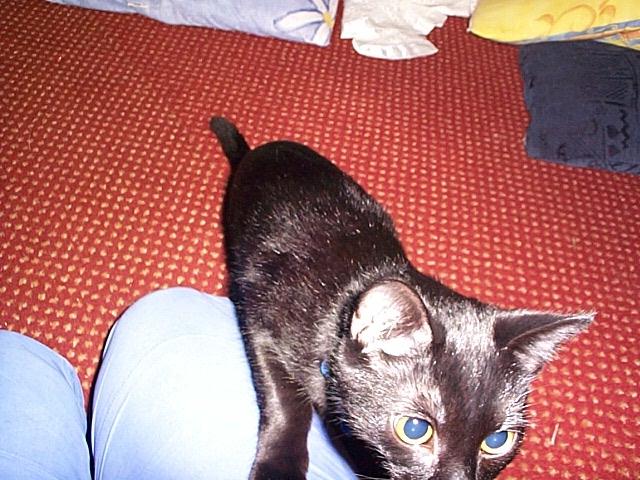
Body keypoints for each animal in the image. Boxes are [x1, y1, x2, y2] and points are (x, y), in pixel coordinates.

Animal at [210, 116, 593, 480]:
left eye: (498, 440)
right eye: (414, 430)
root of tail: (261, 150)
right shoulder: (261, 322)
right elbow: (286, 403)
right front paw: (279, 468)